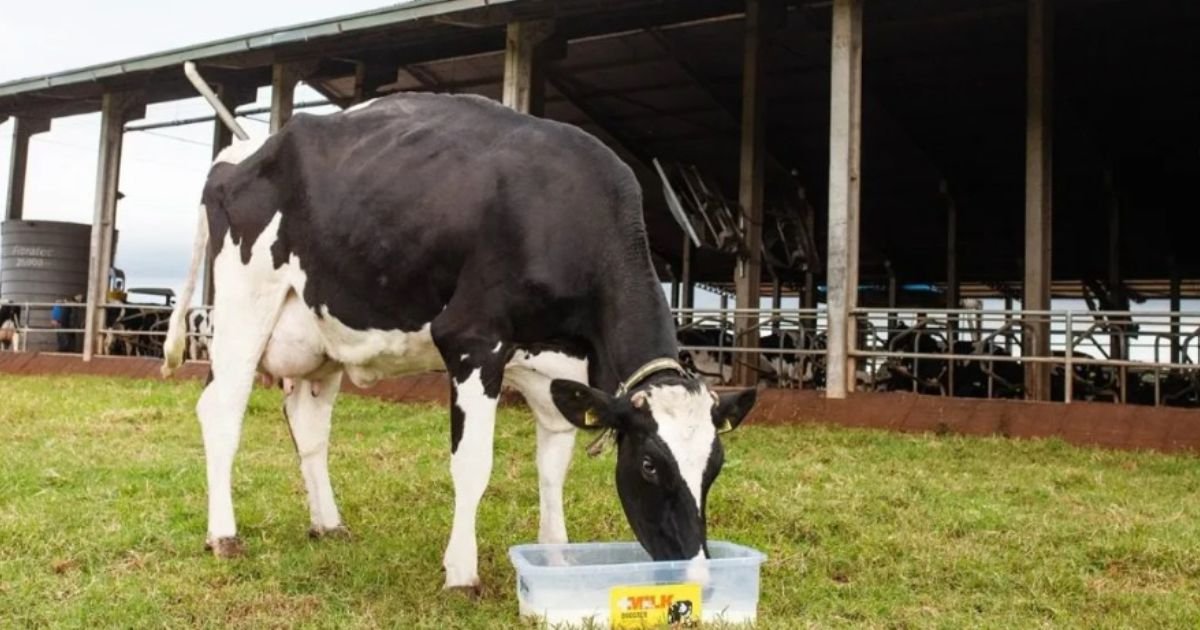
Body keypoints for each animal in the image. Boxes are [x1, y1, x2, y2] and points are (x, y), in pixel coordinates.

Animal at [160, 90, 757, 592]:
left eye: (716, 464)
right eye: (651, 464)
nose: (697, 575)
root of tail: (241, 150)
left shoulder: (558, 365)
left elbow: (553, 466)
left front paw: (558, 559)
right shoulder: (473, 341)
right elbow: (472, 465)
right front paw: (462, 573)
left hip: (320, 334)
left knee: (308, 428)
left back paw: (327, 524)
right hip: (244, 306)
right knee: (221, 412)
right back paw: (223, 535)